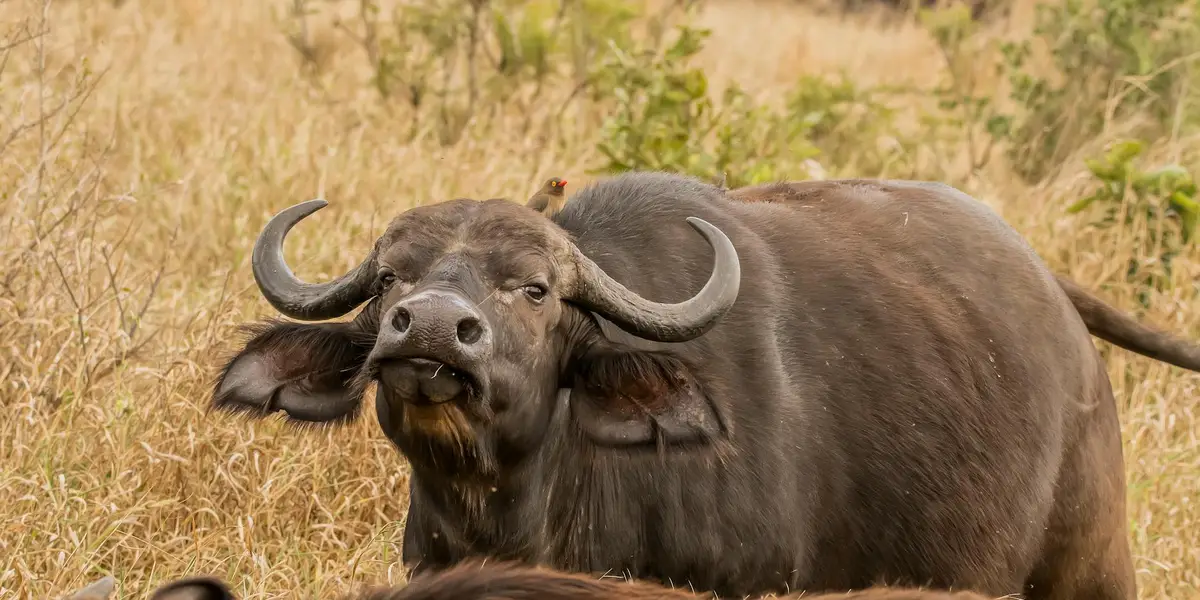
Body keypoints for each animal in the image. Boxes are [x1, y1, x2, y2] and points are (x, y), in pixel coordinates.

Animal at [211, 171, 1200, 600]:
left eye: (534, 288)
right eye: (389, 281)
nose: (428, 330)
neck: (527, 505)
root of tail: (1055, 298)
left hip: (1093, 568)